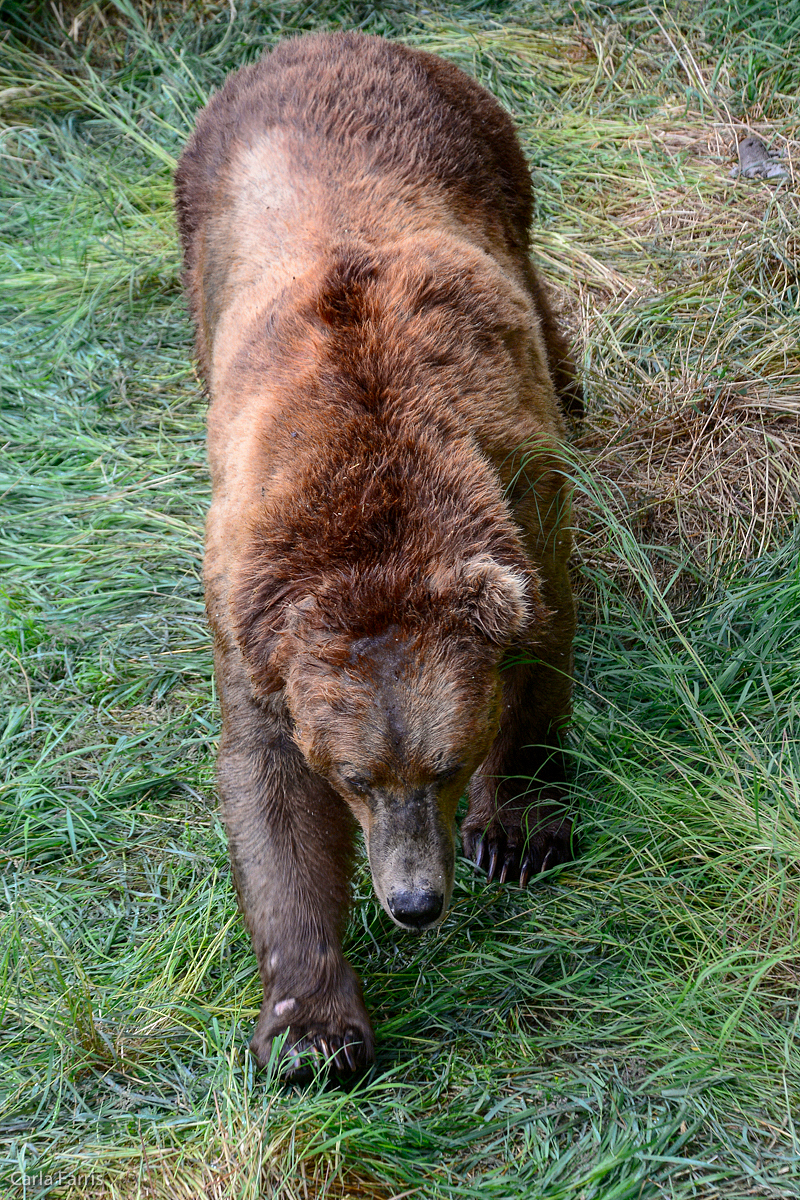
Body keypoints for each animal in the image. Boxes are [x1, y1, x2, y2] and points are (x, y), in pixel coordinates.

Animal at [175, 30, 578, 1080]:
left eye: (445, 763)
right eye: (355, 778)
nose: (414, 902)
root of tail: (315, 39)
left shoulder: (521, 498)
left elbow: (541, 654)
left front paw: (514, 831)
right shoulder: (249, 608)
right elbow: (266, 792)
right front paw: (313, 1030)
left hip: (488, 156)